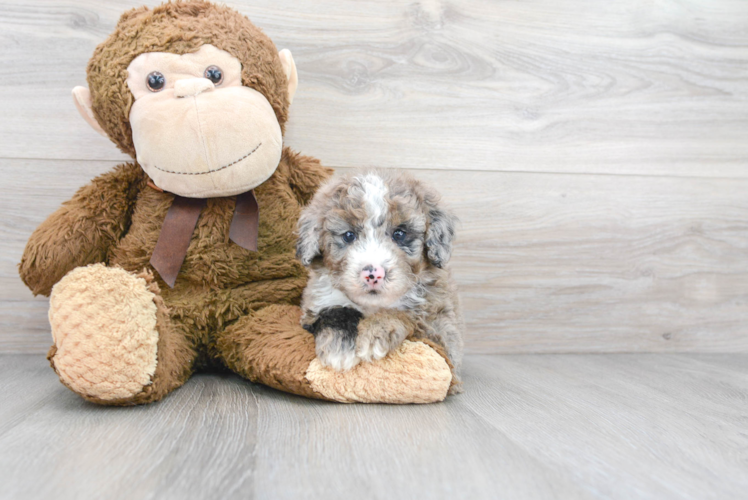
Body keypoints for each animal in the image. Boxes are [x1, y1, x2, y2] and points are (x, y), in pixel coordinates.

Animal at [296, 170, 462, 384]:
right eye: (349, 235)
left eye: (399, 234)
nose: (373, 274)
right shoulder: (314, 305)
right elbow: (334, 311)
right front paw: (339, 348)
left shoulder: (441, 331)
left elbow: (406, 314)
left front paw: (375, 333)